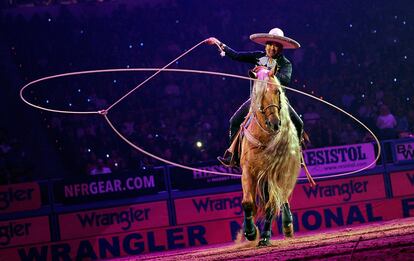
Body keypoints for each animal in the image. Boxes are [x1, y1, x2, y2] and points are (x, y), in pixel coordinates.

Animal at [239, 66, 300, 245]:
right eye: (259, 94)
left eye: (277, 91)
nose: (274, 123)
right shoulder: (248, 171)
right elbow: (248, 202)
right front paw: (250, 232)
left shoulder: (276, 174)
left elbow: (271, 205)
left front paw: (265, 235)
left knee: (281, 198)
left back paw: (287, 224)